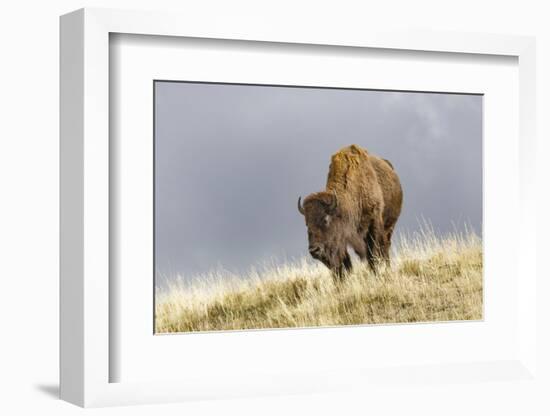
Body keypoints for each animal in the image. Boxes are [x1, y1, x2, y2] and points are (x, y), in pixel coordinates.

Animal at [300, 144, 404, 280]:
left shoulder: (374, 222)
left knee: (385, 247)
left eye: (326, 219)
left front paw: (375, 274)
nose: (314, 250)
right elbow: (345, 262)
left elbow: (373, 253)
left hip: (389, 227)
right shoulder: (342, 236)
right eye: (307, 223)